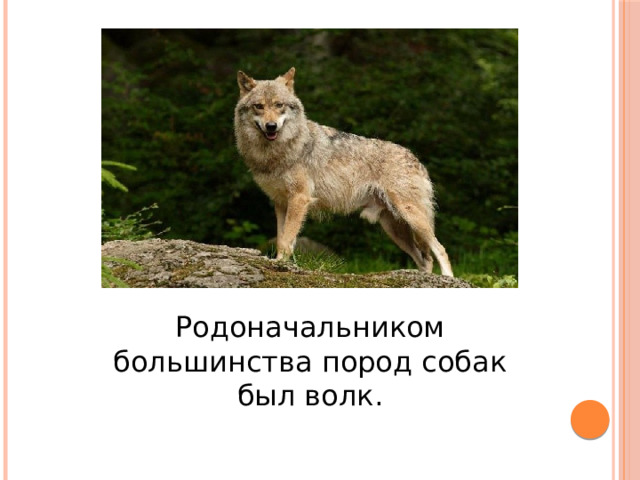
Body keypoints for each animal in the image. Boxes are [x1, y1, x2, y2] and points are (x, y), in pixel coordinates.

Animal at [234, 67, 453, 277]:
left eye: (279, 105)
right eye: (259, 106)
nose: (271, 126)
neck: (278, 151)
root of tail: (416, 159)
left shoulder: (299, 199)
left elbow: (286, 240)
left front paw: (280, 264)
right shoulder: (281, 203)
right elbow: (282, 238)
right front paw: (282, 264)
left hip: (412, 218)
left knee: (440, 249)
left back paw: (447, 277)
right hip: (395, 229)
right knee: (425, 259)